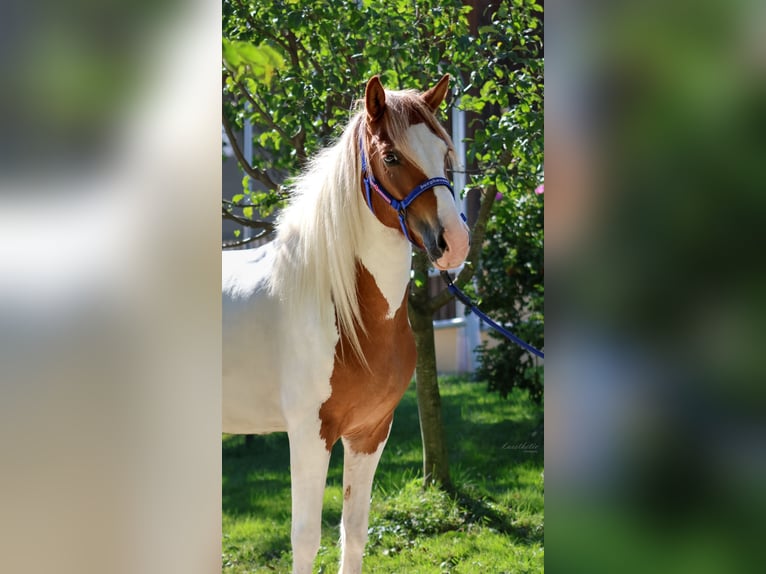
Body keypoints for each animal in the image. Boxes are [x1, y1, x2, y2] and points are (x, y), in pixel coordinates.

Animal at [222, 75, 472, 574]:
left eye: (446, 153)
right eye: (391, 156)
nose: (454, 243)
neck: (345, 311)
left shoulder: (370, 433)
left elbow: (354, 532)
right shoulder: (309, 433)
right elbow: (304, 538)